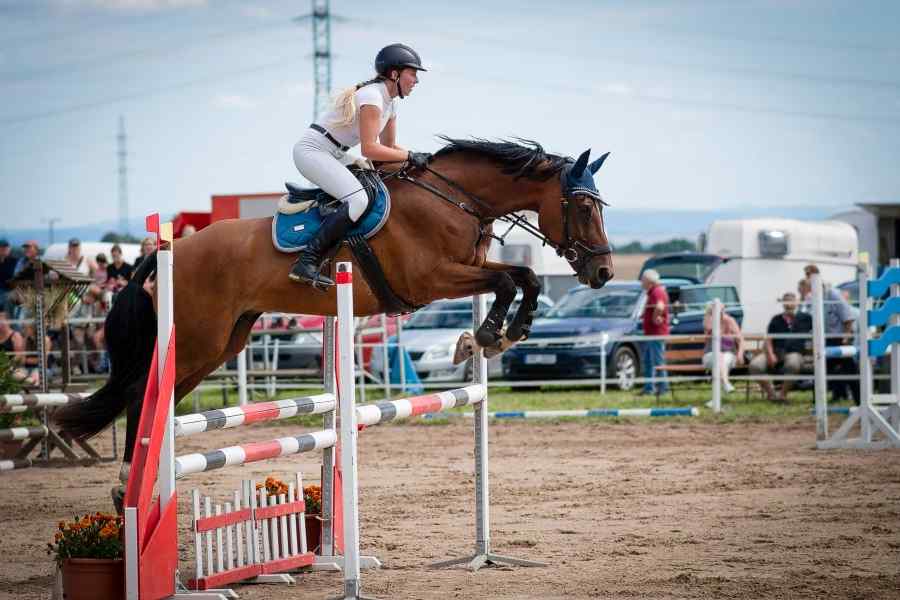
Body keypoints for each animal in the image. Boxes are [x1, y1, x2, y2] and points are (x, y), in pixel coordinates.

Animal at [52, 137, 616, 496]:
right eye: (584, 208)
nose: (604, 272)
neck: (455, 199)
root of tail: (169, 250)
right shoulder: (432, 278)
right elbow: (509, 280)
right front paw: (486, 334)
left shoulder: (468, 268)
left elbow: (524, 276)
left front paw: (498, 335)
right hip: (195, 339)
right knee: (139, 392)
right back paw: (128, 483)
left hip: (223, 342)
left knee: (156, 395)